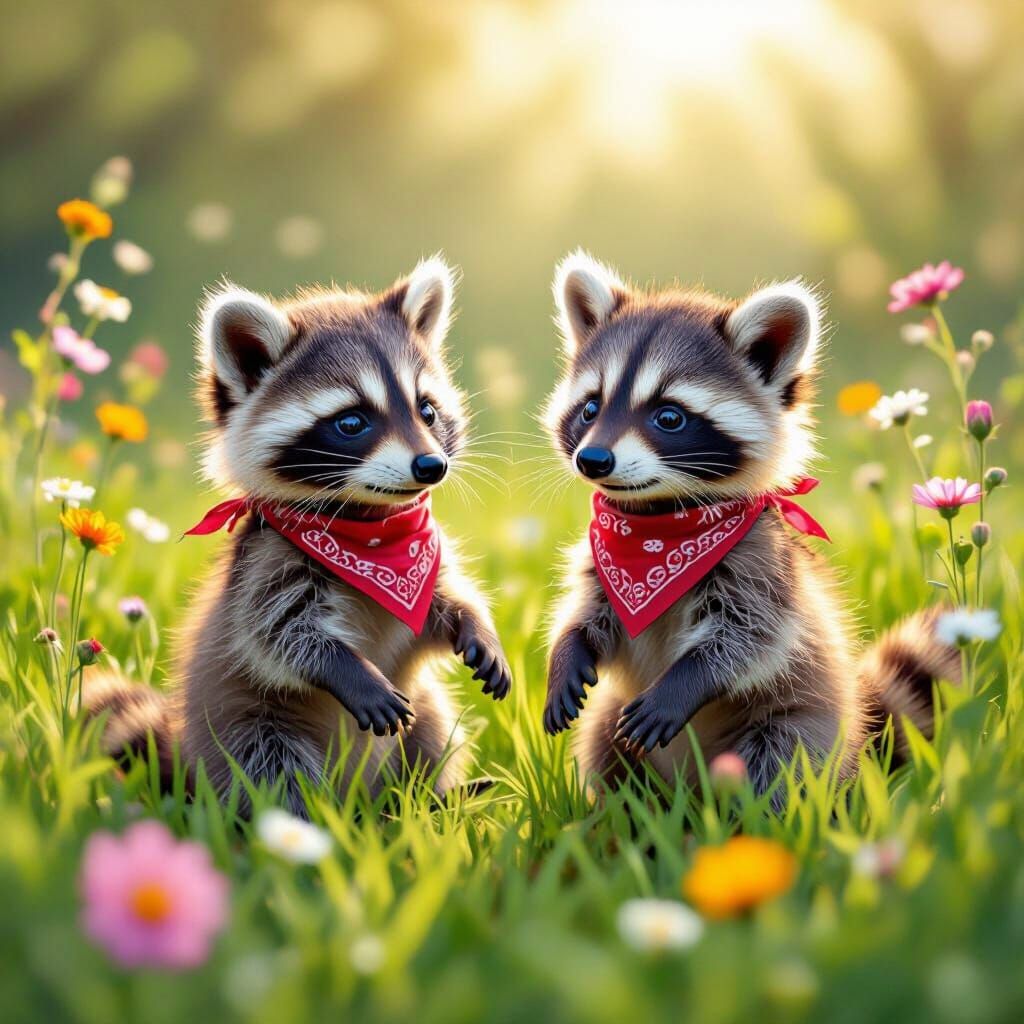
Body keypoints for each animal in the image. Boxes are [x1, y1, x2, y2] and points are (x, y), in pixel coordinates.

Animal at [87, 257, 511, 813]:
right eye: (351, 422)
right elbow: (274, 634)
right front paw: (346, 668)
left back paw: (430, 799)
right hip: (244, 727)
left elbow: (446, 595)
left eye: (427, 411)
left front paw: (476, 626)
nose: (431, 466)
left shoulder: (424, 554)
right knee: (272, 770)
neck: (369, 526)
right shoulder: (267, 559)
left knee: (436, 727)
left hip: (421, 711)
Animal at [541, 251, 957, 797]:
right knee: (603, 745)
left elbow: (751, 637)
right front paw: (567, 651)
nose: (593, 460)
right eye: (591, 407)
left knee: (779, 767)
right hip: (614, 718)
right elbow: (588, 611)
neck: (659, 523)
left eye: (669, 417)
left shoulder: (762, 564)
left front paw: (685, 681)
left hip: (803, 725)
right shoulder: (599, 556)